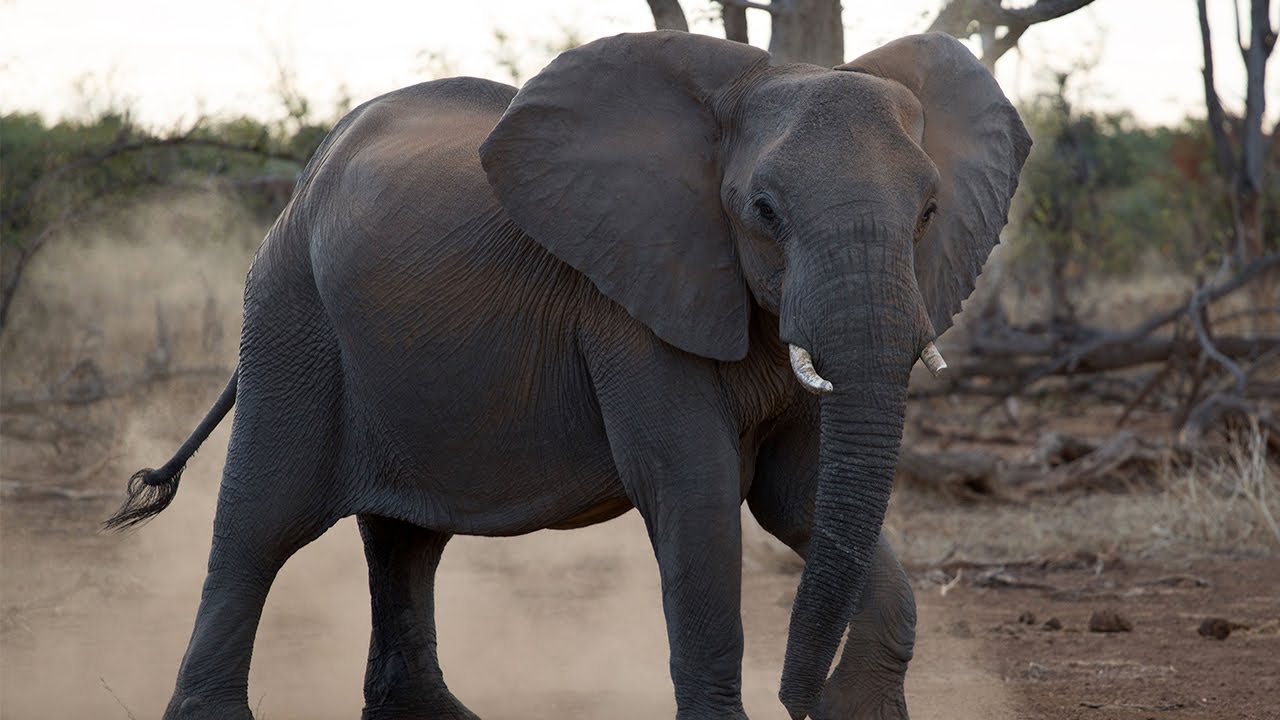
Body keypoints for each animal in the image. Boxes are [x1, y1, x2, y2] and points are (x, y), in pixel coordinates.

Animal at [106, 30, 1029, 720]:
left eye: (929, 212)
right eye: (764, 212)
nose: (801, 702)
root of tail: (307, 174)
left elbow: (800, 501)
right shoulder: (626, 304)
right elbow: (696, 492)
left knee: (407, 538)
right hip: (290, 313)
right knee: (262, 521)